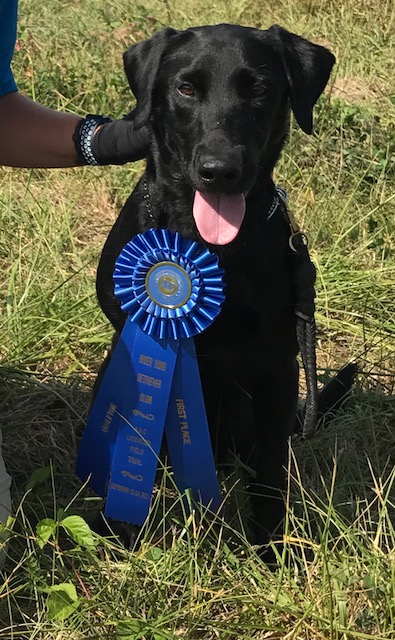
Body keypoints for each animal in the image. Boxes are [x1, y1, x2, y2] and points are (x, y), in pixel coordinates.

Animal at [95, 23, 346, 552]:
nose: (220, 170)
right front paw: (120, 530)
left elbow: (270, 473)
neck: (207, 245)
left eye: (260, 90)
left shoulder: (277, 367)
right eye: (186, 89)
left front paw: (270, 549)